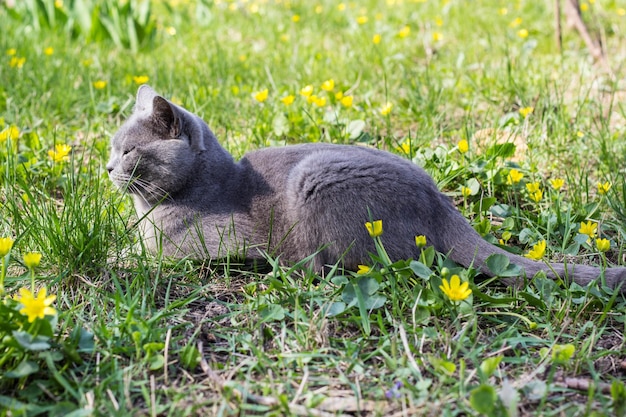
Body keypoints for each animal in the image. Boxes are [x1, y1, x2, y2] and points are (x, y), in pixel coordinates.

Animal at [107, 85, 624, 290]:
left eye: (129, 151)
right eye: (110, 148)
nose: (108, 168)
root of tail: (441, 203)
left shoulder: (194, 246)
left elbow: (140, 256)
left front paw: (115, 259)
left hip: (315, 180)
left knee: (334, 266)